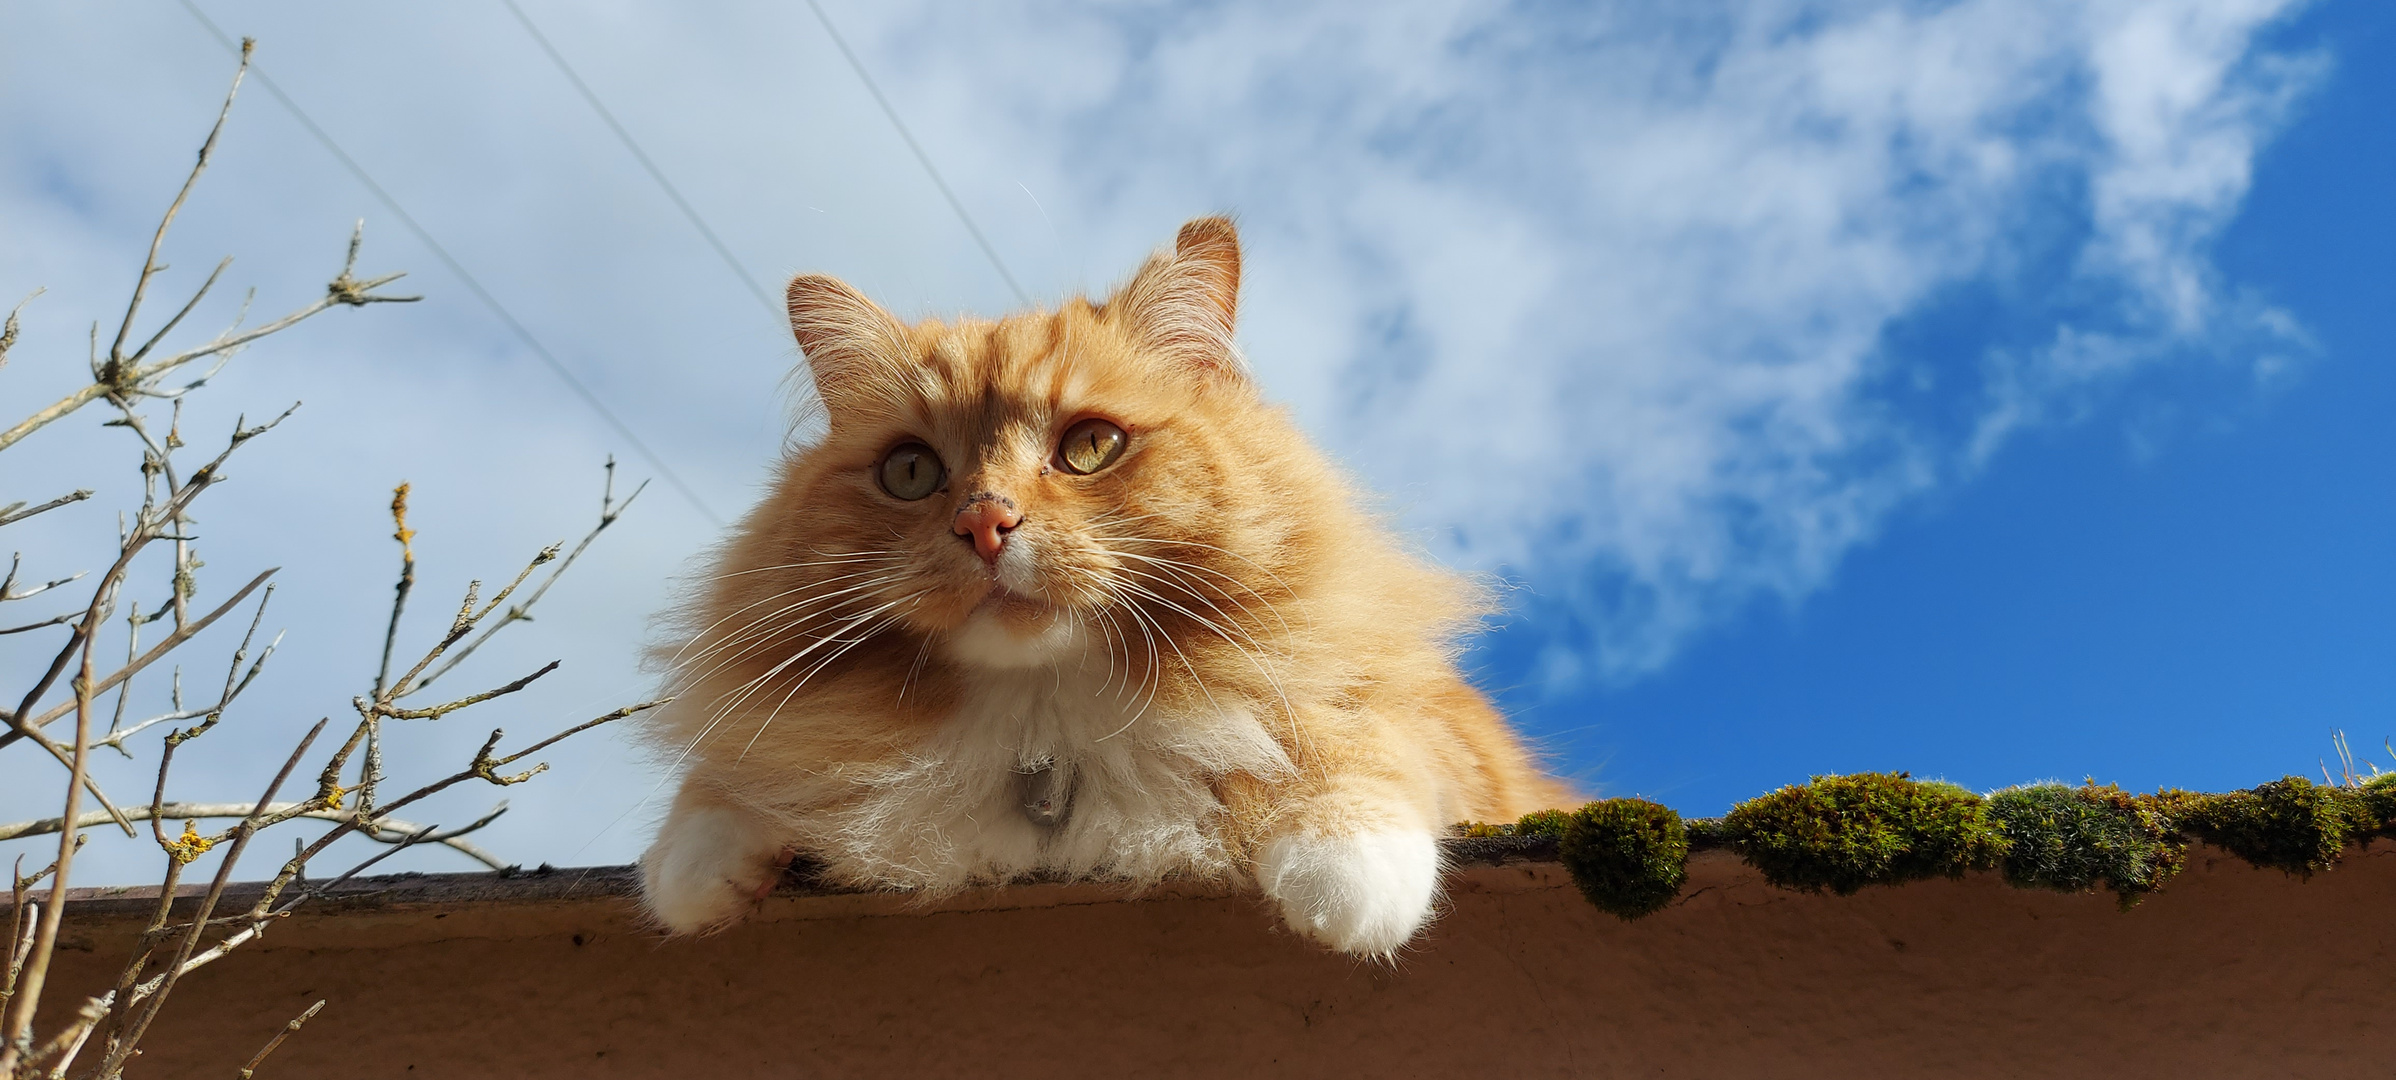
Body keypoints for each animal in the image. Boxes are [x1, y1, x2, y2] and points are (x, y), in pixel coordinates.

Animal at [646, 217, 1562, 957]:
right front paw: (692, 872)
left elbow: (1363, 736)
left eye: (1089, 447)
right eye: (910, 472)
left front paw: (1341, 875)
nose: (985, 523)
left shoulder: (1447, 736)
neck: (1048, 728)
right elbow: (725, 793)